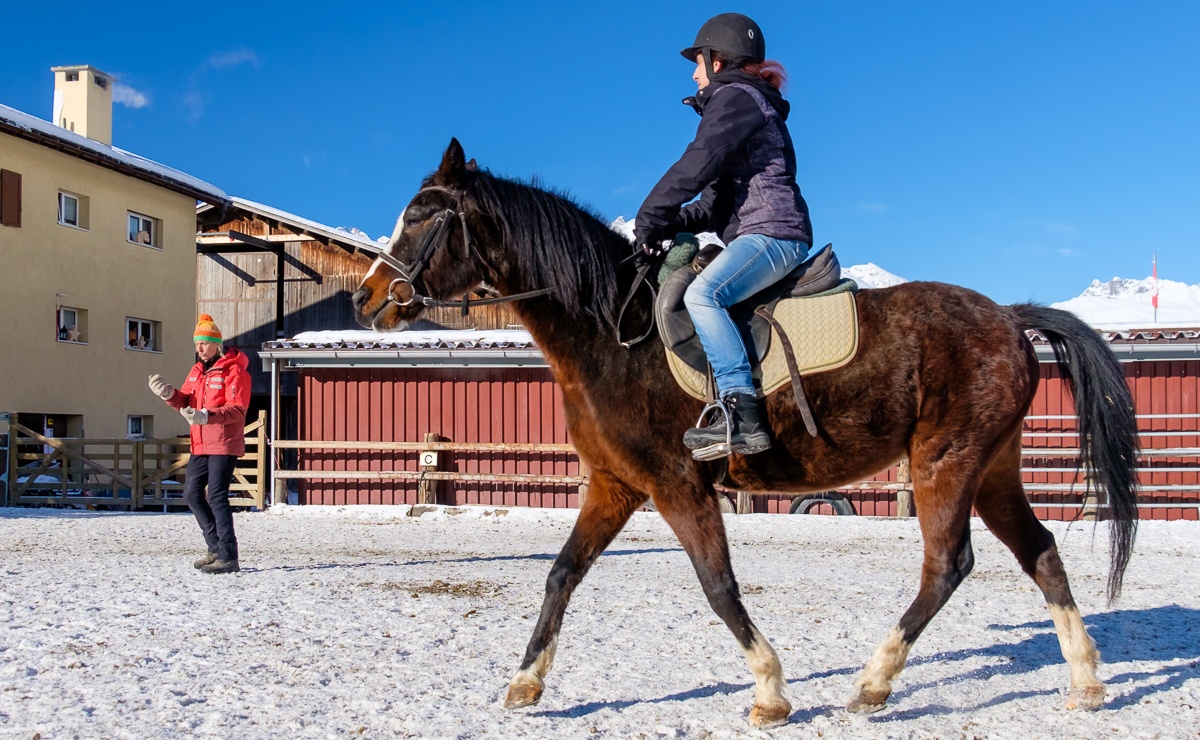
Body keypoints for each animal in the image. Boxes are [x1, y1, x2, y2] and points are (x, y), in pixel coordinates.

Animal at [350, 139, 1137, 729]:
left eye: (420, 218)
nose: (366, 298)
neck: (610, 332)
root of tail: (1007, 316)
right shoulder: (616, 484)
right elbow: (560, 574)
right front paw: (525, 682)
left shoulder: (676, 483)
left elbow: (718, 584)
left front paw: (770, 690)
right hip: (992, 467)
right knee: (1041, 553)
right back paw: (1086, 683)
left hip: (945, 462)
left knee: (947, 565)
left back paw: (872, 683)